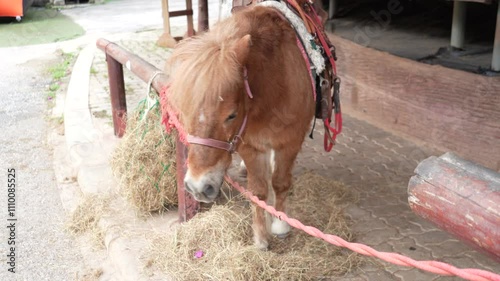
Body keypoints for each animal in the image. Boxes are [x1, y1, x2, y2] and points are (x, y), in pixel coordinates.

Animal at [168, 5, 316, 248]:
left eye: (232, 115)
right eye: (184, 109)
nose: (197, 187)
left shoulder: (290, 142)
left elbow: (280, 183)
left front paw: (280, 225)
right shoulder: (249, 144)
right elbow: (258, 190)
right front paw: (261, 237)